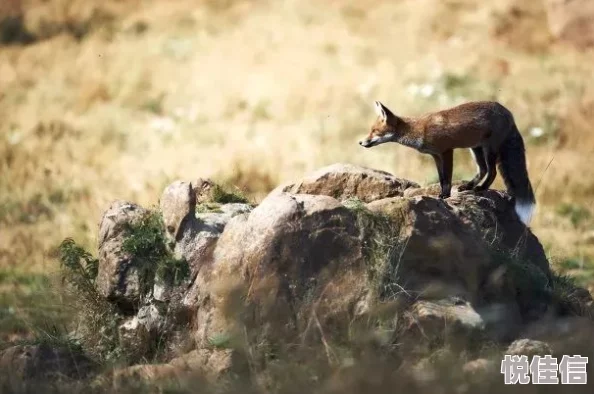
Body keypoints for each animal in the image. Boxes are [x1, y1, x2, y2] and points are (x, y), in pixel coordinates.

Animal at [358, 100, 536, 226]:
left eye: (374, 131)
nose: (361, 142)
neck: (420, 130)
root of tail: (508, 113)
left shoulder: (446, 151)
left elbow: (448, 178)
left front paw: (445, 195)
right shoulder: (436, 155)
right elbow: (442, 177)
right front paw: (442, 195)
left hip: (488, 150)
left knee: (492, 171)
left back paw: (481, 188)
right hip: (476, 149)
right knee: (483, 170)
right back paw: (469, 186)